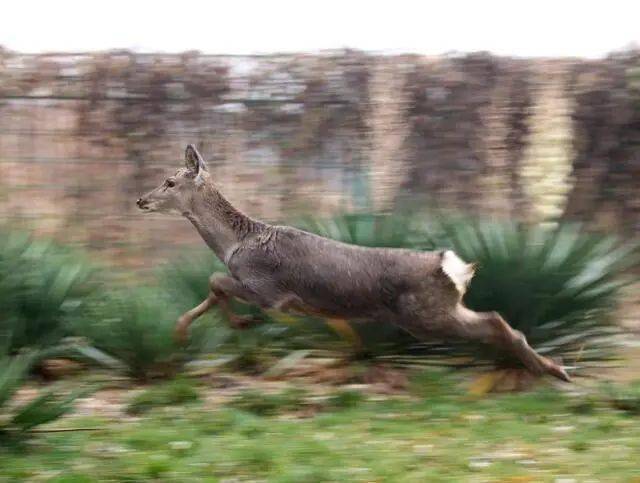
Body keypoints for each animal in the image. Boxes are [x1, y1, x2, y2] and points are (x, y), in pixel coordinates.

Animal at [135, 145, 568, 382]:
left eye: (170, 182)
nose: (141, 200)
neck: (234, 245)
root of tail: (451, 267)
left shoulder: (272, 293)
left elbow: (214, 281)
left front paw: (240, 323)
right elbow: (211, 290)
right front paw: (180, 334)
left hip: (424, 316)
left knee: (494, 321)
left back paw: (552, 371)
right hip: (437, 312)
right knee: (497, 320)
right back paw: (550, 368)